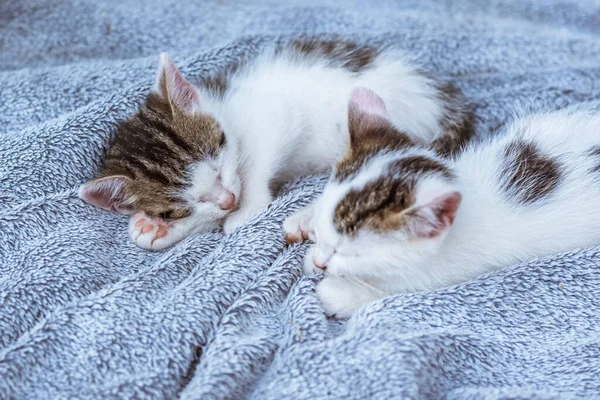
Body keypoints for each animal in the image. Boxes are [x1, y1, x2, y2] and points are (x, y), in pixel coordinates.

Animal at [79, 38, 474, 250]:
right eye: (174, 209)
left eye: (219, 148)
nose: (228, 200)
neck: (229, 116)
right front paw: (157, 227)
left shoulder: (275, 114)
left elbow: (255, 164)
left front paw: (246, 208)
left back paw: (306, 218)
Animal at [284, 91, 600, 318]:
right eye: (323, 235)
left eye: (350, 253)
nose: (321, 261)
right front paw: (305, 224)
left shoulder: (447, 273)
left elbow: (394, 288)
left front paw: (338, 291)